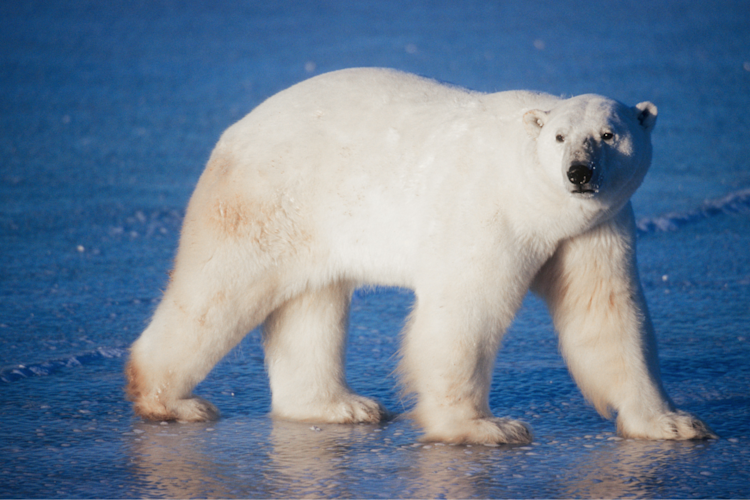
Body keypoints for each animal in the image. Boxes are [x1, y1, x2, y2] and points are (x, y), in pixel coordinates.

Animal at [126, 68, 716, 444]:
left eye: (609, 134)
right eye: (559, 137)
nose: (579, 173)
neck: (536, 197)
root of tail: (235, 130)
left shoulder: (595, 229)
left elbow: (609, 315)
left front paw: (674, 423)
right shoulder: (489, 215)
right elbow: (465, 312)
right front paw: (486, 427)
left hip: (312, 223)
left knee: (312, 303)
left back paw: (341, 406)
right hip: (267, 199)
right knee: (219, 290)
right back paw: (171, 401)